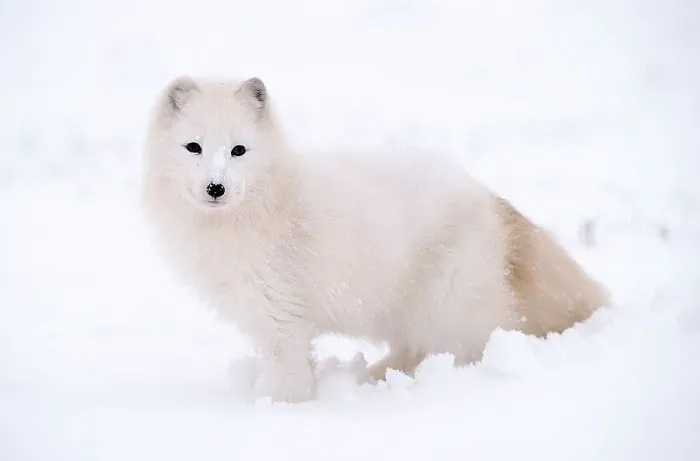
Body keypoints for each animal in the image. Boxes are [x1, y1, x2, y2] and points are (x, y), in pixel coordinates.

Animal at [141, 75, 610, 403]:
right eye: (193, 147)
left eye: (238, 150)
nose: (216, 187)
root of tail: (488, 197)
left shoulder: (282, 313)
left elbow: (287, 372)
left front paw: (276, 408)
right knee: (416, 349)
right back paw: (376, 375)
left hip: (447, 303)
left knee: (478, 340)